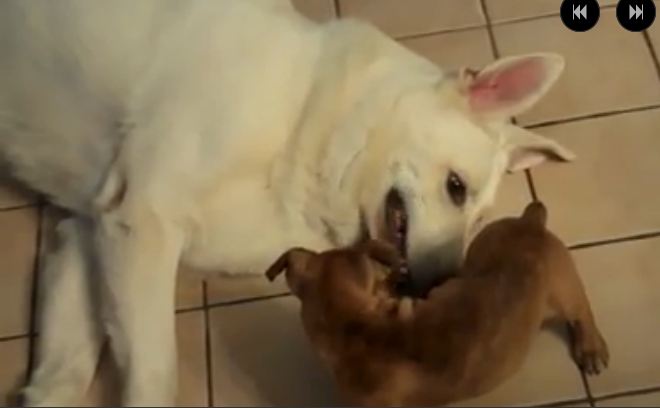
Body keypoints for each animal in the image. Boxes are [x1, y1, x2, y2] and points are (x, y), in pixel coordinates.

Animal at [0, 0, 572, 404]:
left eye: (479, 221)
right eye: (456, 187)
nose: (441, 285)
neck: (304, 117)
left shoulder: (88, 233)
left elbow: (61, 378)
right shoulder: (140, 220)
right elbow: (154, 378)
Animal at [264, 202, 608, 406]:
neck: (353, 324)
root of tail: (530, 223)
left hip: (563, 287)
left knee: (581, 311)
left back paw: (591, 349)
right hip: (478, 253)